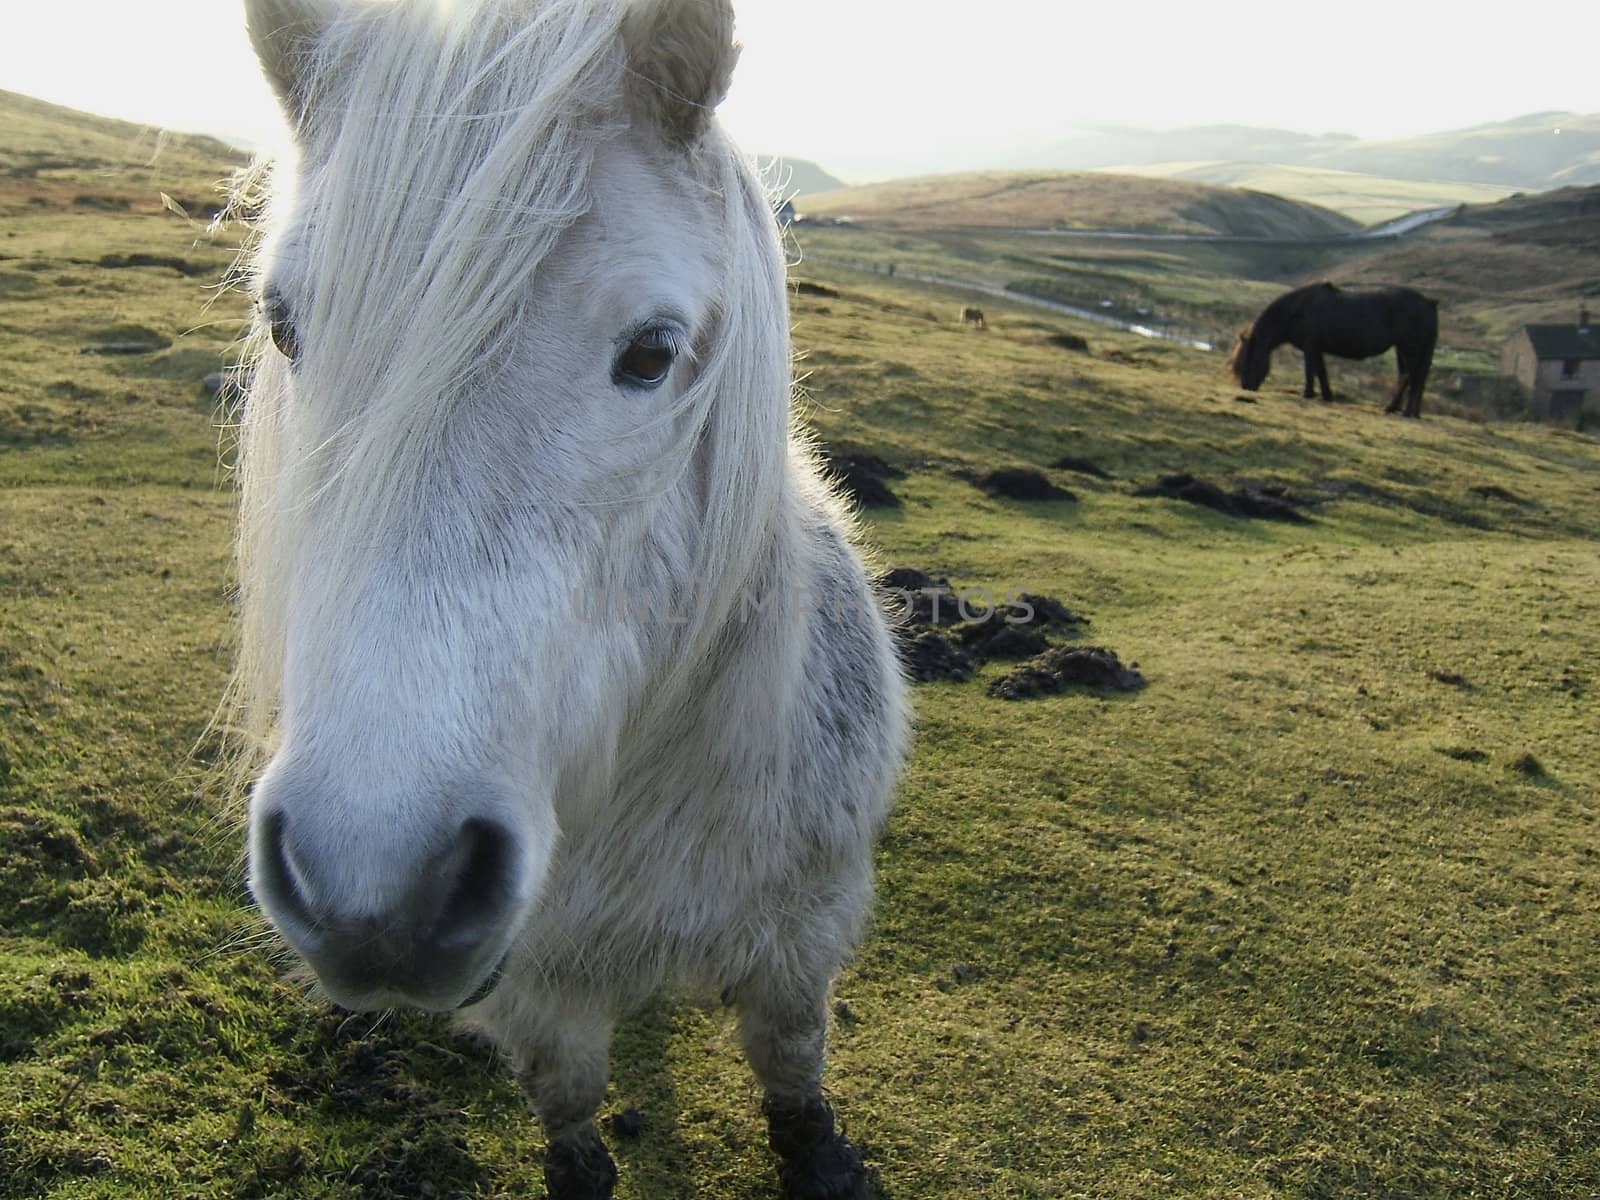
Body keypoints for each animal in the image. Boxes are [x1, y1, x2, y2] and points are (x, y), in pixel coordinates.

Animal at [236, 0, 915, 1196]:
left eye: (652, 353)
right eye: (284, 325)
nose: (376, 885)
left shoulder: (801, 944)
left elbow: (794, 1078)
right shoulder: (540, 998)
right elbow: (571, 1119)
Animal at [1228, 281, 1446, 419]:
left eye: (1250, 359)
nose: (1246, 387)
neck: (1297, 310)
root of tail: (1429, 303)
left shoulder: (1310, 347)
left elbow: (1310, 372)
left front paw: (1307, 394)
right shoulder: (1317, 349)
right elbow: (1321, 372)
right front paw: (1327, 396)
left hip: (1410, 349)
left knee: (1412, 378)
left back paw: (1404, 411)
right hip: (1403, 350)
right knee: (1410, 377)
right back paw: (1400, 410)